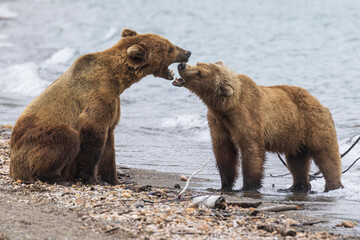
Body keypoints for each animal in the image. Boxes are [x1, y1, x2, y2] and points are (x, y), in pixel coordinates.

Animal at [9, 28, 191, 186]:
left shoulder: (113, 105)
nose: (187, 52)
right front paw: (90, 178)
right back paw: (58, 178)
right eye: (170, 48)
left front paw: (115, 180)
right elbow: (93, 137)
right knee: (66, 139)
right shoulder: (96, 98)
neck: (117, 80)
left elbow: (109, 148)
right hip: (37, 139)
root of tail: (13, 168)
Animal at [174, 61, 344, 192]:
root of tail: (320, 103)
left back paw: (333, 186)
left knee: (327, 156)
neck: (226, 107)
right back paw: (295, 187)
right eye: (198, 63)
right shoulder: (217, 122)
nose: (182, 65)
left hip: (314, 126)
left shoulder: (247, 115)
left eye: (199, 73)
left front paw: (248, 186)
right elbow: (223, 150)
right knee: (297, 161)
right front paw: (224, 184)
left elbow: (251, 148)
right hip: (296, 137)